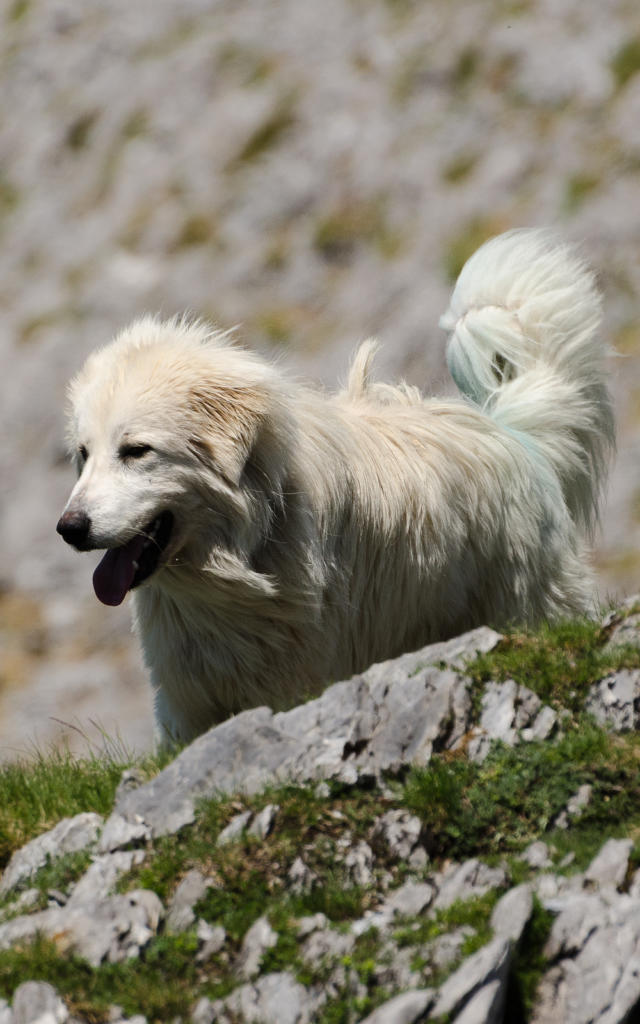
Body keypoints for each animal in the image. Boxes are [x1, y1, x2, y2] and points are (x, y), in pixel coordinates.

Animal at [58, 230, 614, 745]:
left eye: (136, 450)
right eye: (84, 454)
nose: (69, 528)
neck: (248, 551)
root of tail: (516, 435)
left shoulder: (295, 683)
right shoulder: (187, 705)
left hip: (527, 609)